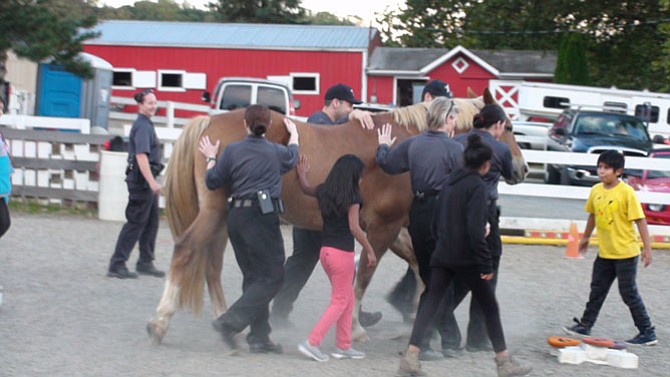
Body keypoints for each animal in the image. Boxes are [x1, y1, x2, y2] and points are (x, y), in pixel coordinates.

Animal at [147, 87, 532, 344]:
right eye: (509, 127)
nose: (523, 168)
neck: (407, 142)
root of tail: (207, 123)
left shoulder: (395, 228)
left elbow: (418, 269)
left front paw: (419, 318)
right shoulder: (384, 226)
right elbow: (364, 276)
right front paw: (358, 326)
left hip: (223, 219)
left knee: (211, 265)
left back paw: (227, 322)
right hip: (214, 214)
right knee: (186, 250)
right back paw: (161, 321)